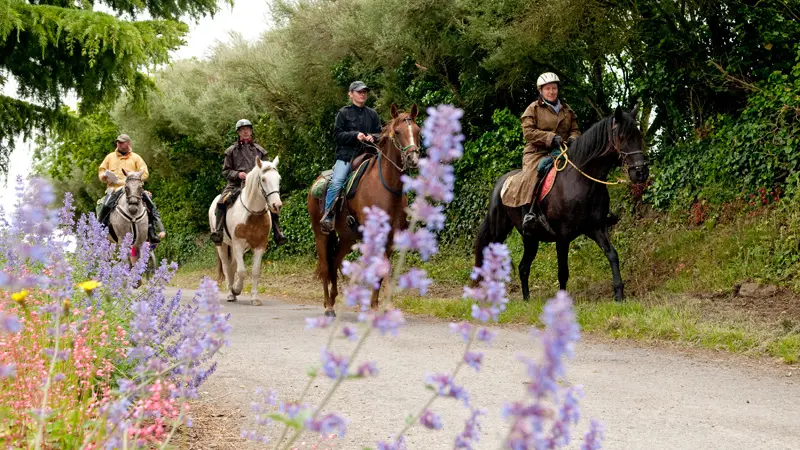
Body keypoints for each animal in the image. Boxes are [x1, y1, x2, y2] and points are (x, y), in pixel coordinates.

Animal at [208, 156, 282, 306]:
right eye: (263, 179)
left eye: (279, 178)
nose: (276, 205)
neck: (252, 214)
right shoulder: (238, 244)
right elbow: (242, 271)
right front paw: (236, 289)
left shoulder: (260, 245)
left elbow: (255, 271)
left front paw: (255, 298)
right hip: (222, 245)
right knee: (227, 266)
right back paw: (231, 293)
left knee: (232, 266)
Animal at [306, 104, 422, 316]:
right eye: (398, 131)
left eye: (417, 131)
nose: (413, 157)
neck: (386, 187)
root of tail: (315, 185)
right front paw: (386, 305)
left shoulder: (390, 236)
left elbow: (381, 270)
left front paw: (375, 305)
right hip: (321, 234)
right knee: (326, 265)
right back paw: (328, 306)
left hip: (347, 238)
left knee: (335, 262)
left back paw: (334, 299)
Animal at [476, 106, 648, 302]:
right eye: (622, 137)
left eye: (638, 135)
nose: (641, 172)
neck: (582, 181)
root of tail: (500, 184)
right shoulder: (562, 236)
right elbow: (563, 272)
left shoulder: (596, 228)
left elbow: (612, 255)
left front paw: (619, 293)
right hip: (499, 233)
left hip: (530, 238)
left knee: (523, 267)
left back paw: (526, 299)